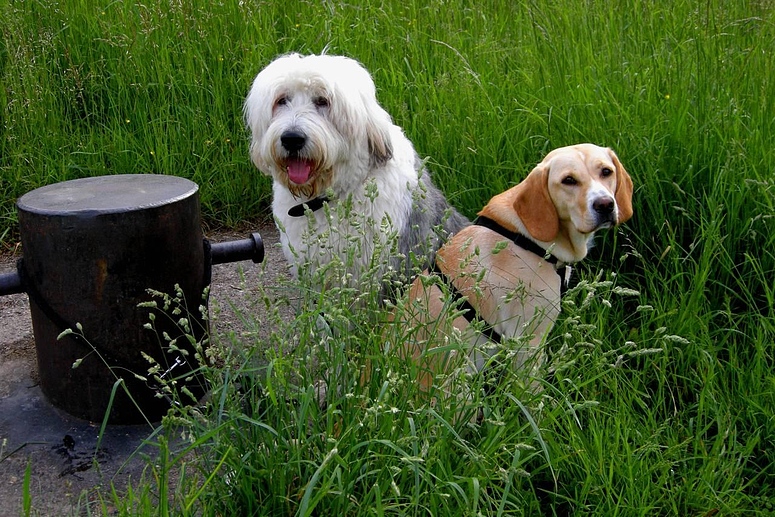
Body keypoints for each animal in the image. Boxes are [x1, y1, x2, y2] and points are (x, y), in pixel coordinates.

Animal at [404, 143, 632, 390]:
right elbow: (531, 391)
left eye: (606, 172)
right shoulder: (527, 339)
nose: (605, 204)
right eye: (568, 180)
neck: (528, 239)